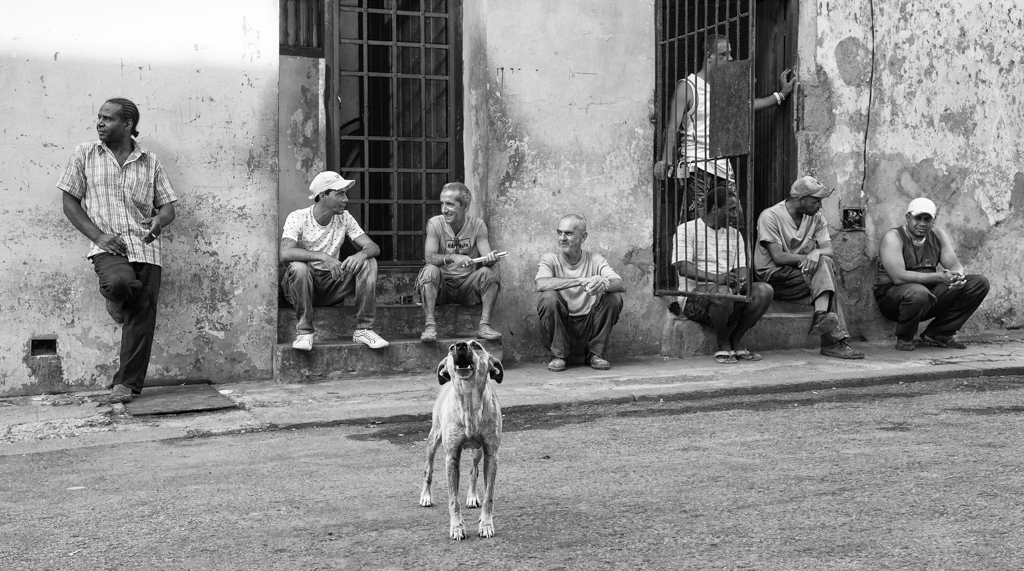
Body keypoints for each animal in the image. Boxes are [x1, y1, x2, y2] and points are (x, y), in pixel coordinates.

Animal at [419, 339, 503, 540]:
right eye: (450, 348)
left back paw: (472, 496)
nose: (460, 345)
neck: (470, 403)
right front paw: (457, 527)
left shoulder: (491, 454)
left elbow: (489, 495)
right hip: (434, 439)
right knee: (428, 470)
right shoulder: (451, 457)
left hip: (477, 451)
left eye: (477, 346)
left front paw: (486, 524)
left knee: (474, 470)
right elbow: (453, 499)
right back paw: (426, 496)